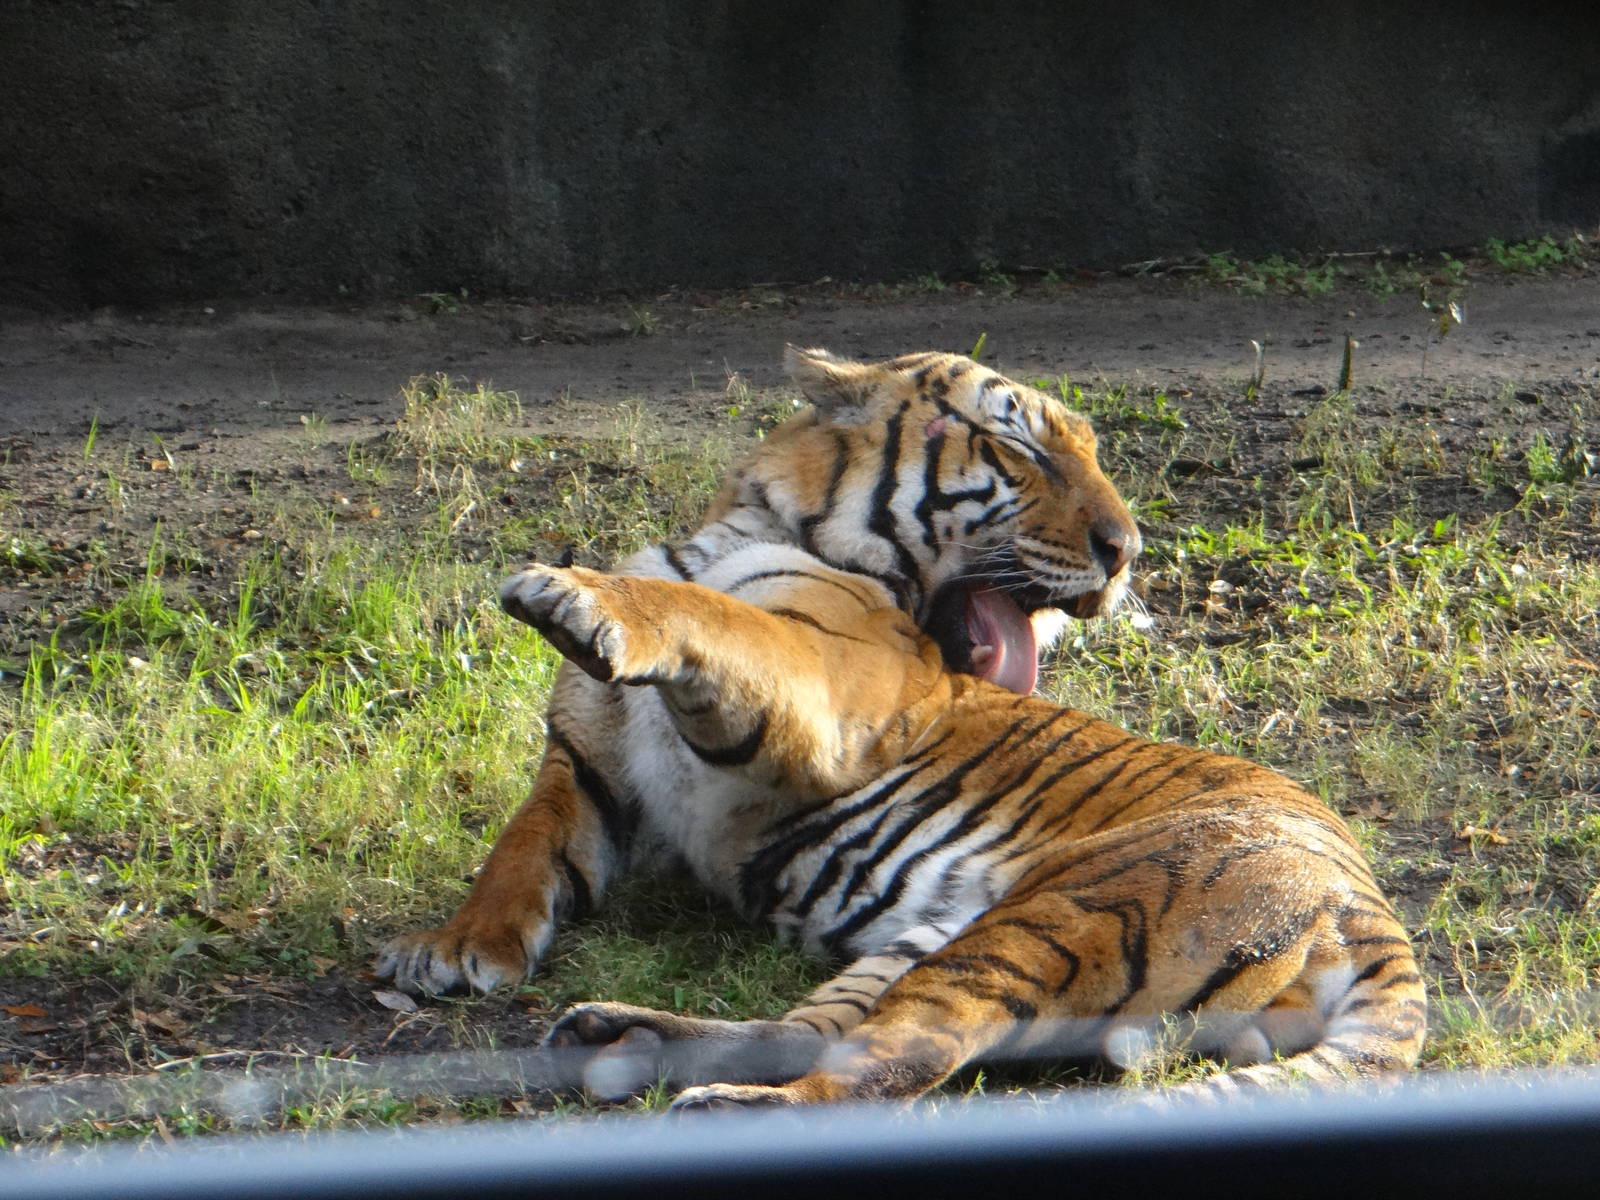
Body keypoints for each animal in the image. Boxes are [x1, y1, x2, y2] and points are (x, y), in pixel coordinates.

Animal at [376, 347, 1425, 1104]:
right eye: (1023, 449)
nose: (1126, 552)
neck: (741, 527)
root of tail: (1364, 902)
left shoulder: (818, 685)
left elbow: (715, 617)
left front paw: (576, 594)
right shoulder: (587, 762)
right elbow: (524, 847)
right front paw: (453, 951)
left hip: (1056, 917)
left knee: (902, 1056)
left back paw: (720, 1106)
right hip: (925, 939)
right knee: (813, 1032)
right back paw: (619, 1038)